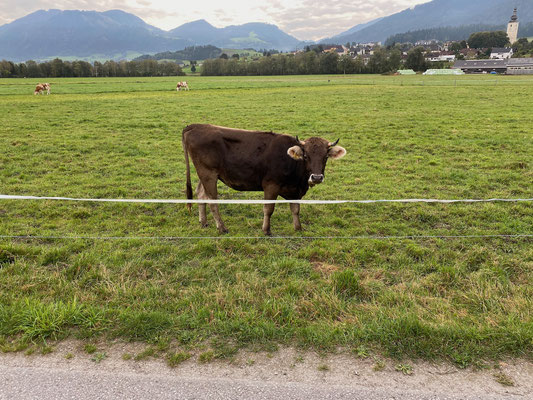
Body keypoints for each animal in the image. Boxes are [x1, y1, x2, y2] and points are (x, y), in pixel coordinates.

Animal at [181, 124, 348, 234]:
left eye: (325, 157)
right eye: (306, 156)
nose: (317, 177)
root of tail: (195, 126)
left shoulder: (295, 190)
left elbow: (295, 209)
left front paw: (298, 228)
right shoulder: (271, 185)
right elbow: (268, 209)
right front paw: (266, 230)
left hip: (207, 174)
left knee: (201, 194)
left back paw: (204, 222)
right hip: (208, 173)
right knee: (212, 201)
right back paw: (222, 228)